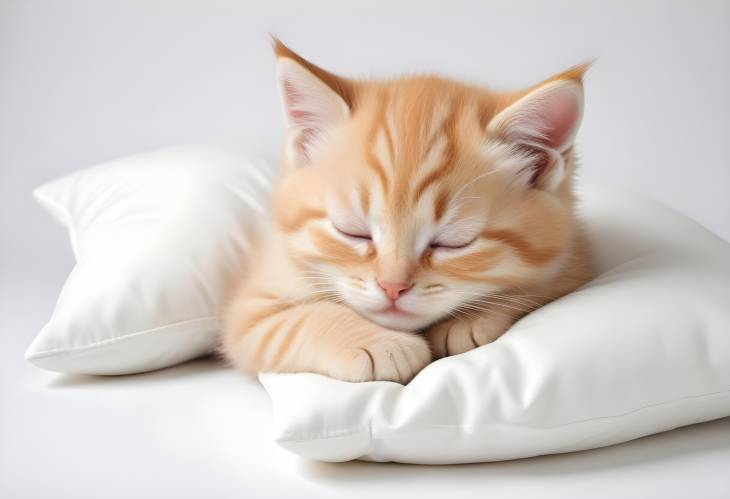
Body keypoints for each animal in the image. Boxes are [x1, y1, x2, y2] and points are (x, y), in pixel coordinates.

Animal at [220, 41, 592, 384]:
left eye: (454, 243)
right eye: (352, 231)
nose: (392, 287)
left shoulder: (576, 260)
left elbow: (541, 284)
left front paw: (470, 319)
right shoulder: (250, 310)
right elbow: (300, 320)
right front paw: (381, 344)